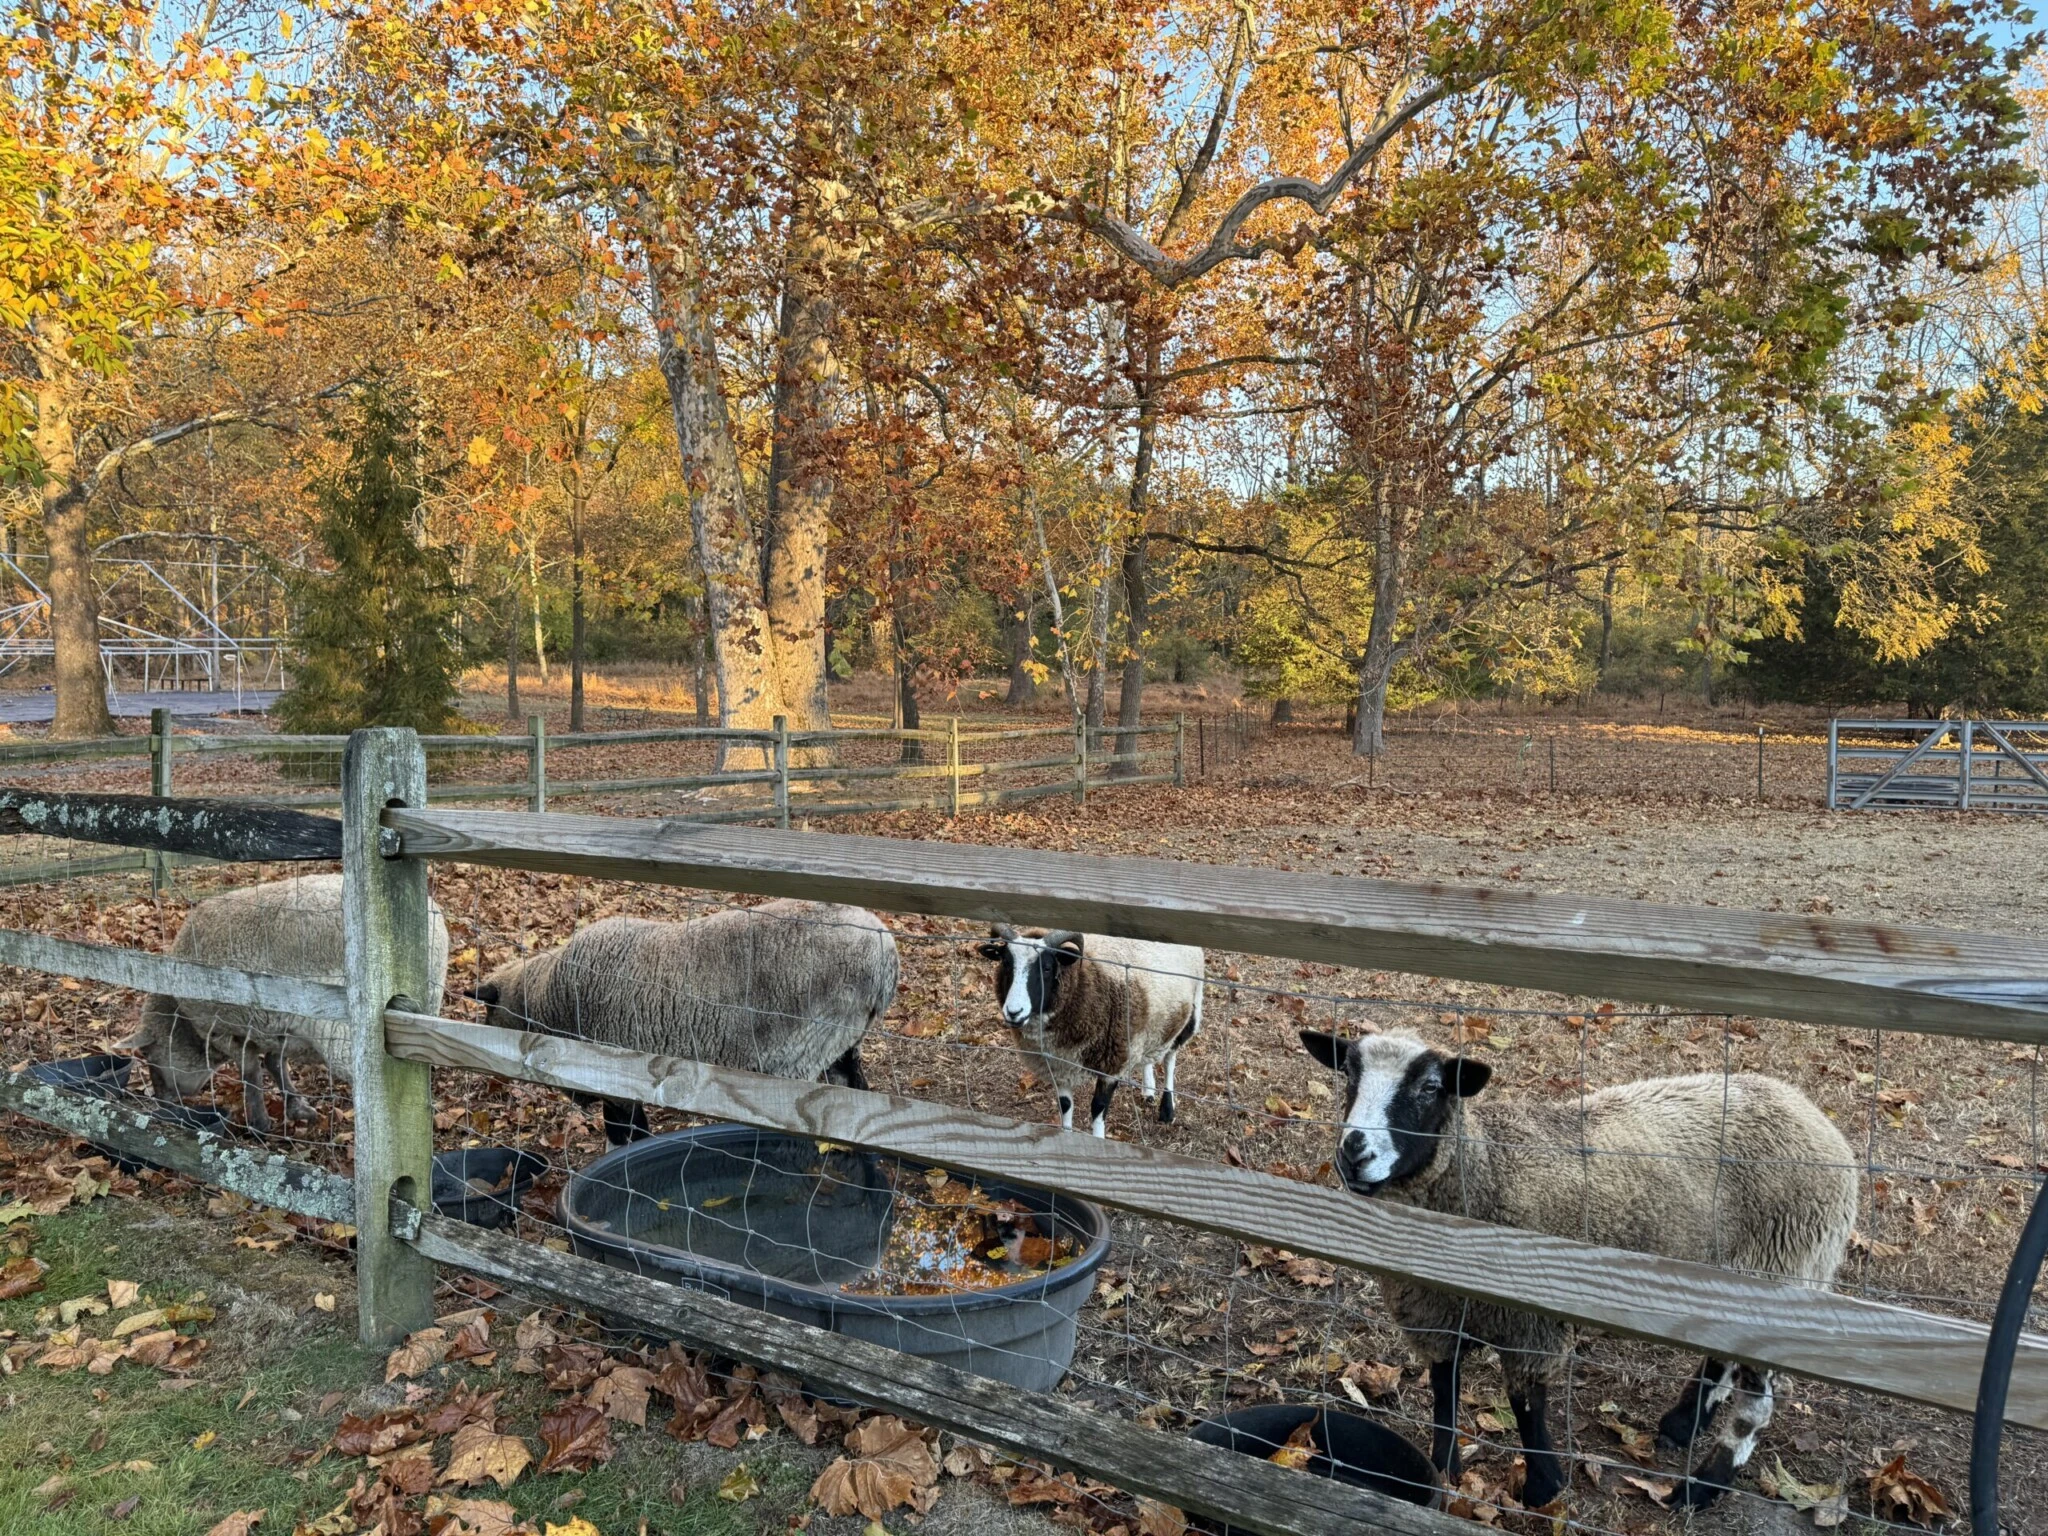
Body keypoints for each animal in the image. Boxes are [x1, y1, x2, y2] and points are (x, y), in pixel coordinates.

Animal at [124, 873, 452, 1133]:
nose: (162, 1102)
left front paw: (259, 1123)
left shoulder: (224, 1027)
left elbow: (251, 1072)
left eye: (149, 1053)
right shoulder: (274, 1025)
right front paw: (297, 1108)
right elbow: (274, 1063)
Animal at [472, 899, 899, 1146]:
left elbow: (627, 1133)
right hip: (842, 1042)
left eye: (489, 1014)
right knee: (854, 1097)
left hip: (804, 1049)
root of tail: (885, 951)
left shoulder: (614, 1074)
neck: (547, 996)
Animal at [976, 926, 1204, 1136]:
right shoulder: (1060, 1066)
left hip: (1189, 1011)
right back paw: (1148, 1090)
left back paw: (1167, 1109)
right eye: (1006, 963)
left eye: (1047, 968)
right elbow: (1065, 1106)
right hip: (1150, 1024)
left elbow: (1098, 1108)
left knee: (1170, 1058)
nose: (1014, 1012)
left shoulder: (1113, 1064)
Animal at [1298, 1029, 1858, 1511]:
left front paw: (1543, 1488)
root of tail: (1813, 1115)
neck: (1486, 1170)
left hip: (1782, 1269)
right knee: (1721, 1354)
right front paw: (1444, 1467)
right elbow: (1443, 1388)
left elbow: (1526, 1404)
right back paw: (1683, 1423)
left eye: (1431, 1087)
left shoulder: (1527, 1320)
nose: (1354, 1152)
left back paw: (1702, 1487)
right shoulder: (1437, 1311)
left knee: (1756, 1405)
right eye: (1348, 1075)